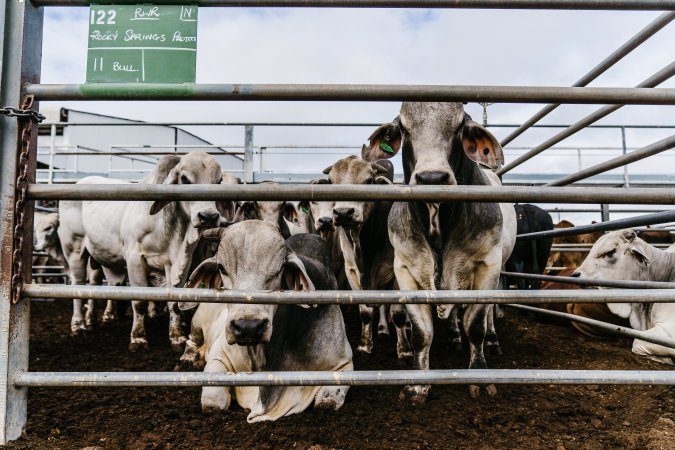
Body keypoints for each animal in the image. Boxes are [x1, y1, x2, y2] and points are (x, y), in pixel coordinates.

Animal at [374, 102, 516, 400]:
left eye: (460, 125)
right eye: (404, 128)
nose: (432, 177)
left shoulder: (488, 266)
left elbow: (476, 325)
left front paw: (479, 374)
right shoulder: (405, 270)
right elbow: (421, 332)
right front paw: (418, 382)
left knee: (489, 312)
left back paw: (492, 339)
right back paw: (453, 334)